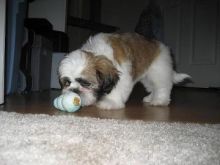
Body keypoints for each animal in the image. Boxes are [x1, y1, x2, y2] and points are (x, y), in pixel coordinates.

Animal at [58, 32, 191, 109]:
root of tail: (163, 47)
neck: (98, 54)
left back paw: (159, 100)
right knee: (153, 86)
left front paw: (111, 102)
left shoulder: (123, 75)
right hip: (147, 76)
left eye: (86, 83)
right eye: (67, 83)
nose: (74, 90)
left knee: (162, 85)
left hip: (158, 70)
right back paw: (151, 98)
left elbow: (118, 89)